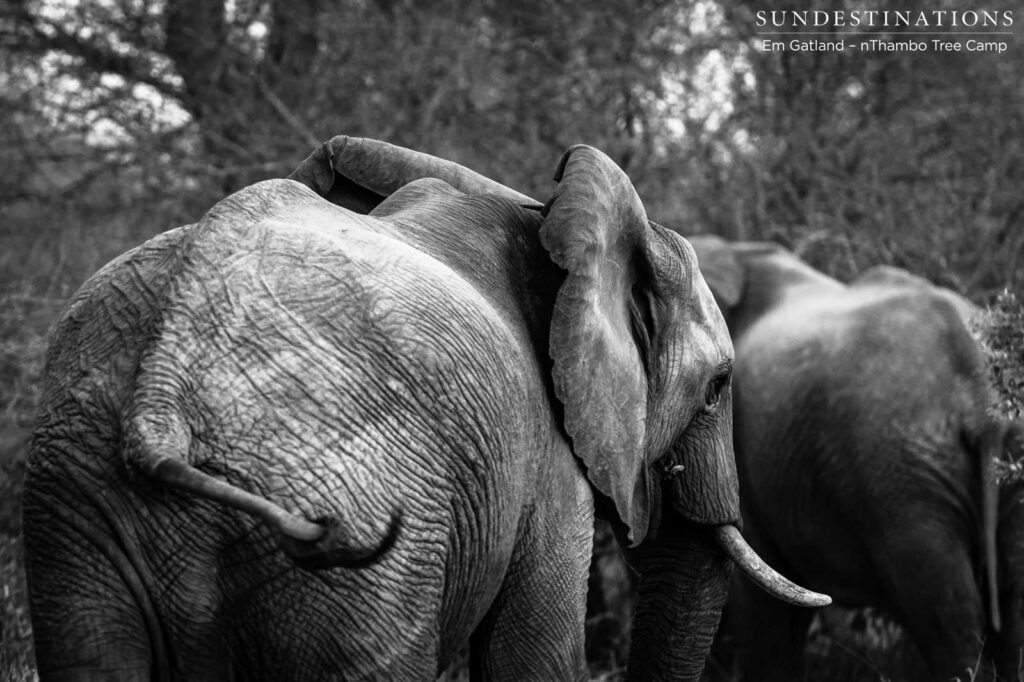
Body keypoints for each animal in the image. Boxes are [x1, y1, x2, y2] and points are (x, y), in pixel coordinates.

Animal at [22, 138, 825, 681]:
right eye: (718, 385)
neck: (550, 221)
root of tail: (162, 386)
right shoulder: (544, 459)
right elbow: (530, 659)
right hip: (362, 527)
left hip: (74, 504)